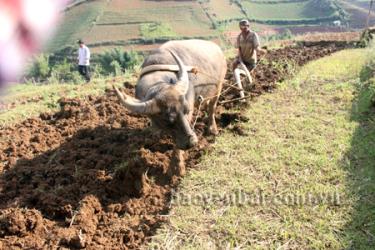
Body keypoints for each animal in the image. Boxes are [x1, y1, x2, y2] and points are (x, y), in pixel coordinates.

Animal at [114, 39, 226, 176]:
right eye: (167, 120)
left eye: (187, 111)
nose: (192, 143)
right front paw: (154, 134)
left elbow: (176, 145)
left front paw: (176, 167)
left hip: (219, 87)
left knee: (212, 108)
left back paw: (212, 129)